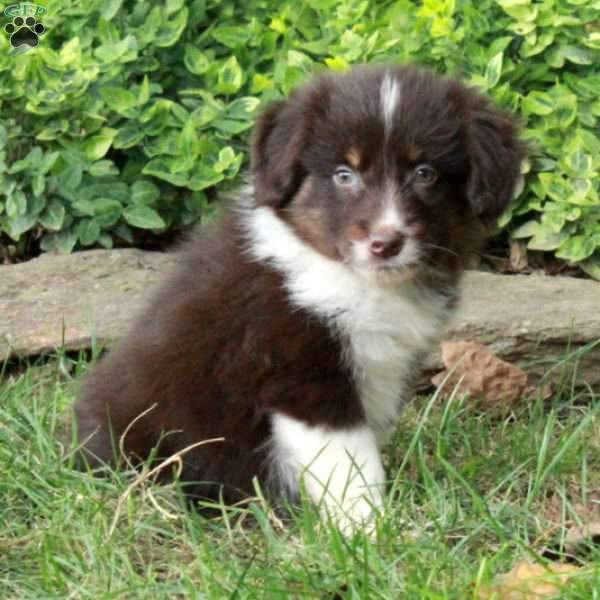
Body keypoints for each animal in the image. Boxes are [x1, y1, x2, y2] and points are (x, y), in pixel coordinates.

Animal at [75, 65, 524, 532]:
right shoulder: (302, 375)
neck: (357, 281)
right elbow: (349, 460)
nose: (385, 243)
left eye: (425, 173)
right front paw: (371, 528)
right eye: (344, 174)